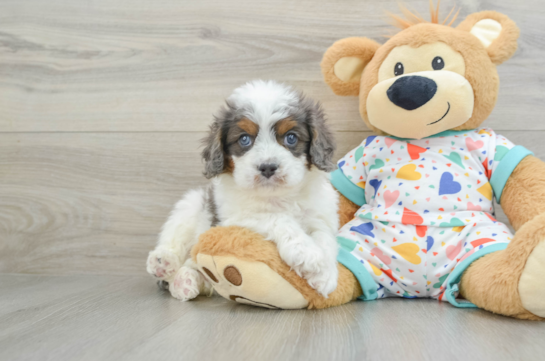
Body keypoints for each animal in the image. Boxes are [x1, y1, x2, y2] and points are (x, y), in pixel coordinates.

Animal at [147, 80, 338, 300]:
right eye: (245, 139)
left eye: (291, 138)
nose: (268, 167)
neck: (277, 196)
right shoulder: (234, 218)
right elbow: (278, 219)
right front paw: (306, 253)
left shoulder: (321, 216)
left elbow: (325, 238)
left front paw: (325, 275)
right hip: (190, 206)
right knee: (175, 243)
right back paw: (164, 263)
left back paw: (186, 281)